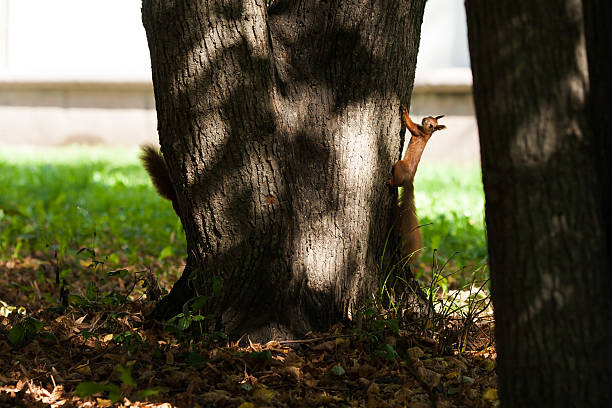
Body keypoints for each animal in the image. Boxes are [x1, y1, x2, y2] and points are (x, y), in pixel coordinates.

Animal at [390, 105, 448, 262]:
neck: (427, 133)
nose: (424, 120)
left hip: (400, 165)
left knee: (397, 183)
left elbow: (410, 124)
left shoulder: (418, 132)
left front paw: (404, 111)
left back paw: (390, 182)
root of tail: (410, 179)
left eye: (432, 125)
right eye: (429, 117)